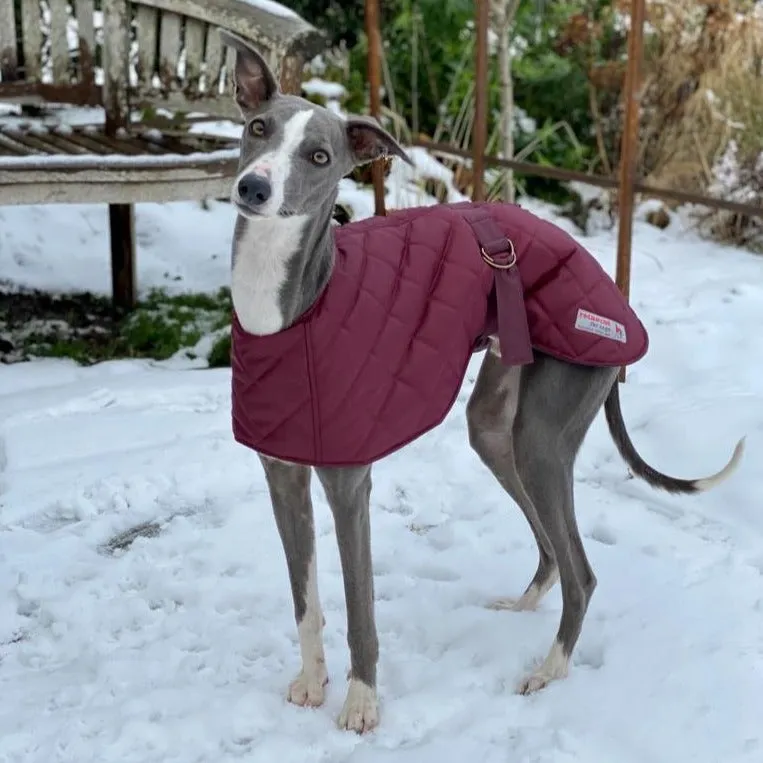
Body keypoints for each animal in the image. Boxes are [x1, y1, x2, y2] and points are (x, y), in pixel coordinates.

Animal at [221, 29, 748, 736]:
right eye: (258, 127)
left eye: (319, 156)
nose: (253, 188)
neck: (298, 308)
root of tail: (613, 294)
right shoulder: (283, 473)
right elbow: (304, 597)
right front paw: (311, 683)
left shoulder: (348, 483)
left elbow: (360, 606)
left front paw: (361, 704)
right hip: (496, 428)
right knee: (551, 548)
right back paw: (524, 607)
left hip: (544, 436)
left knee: (583, 572)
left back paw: (548, 670)